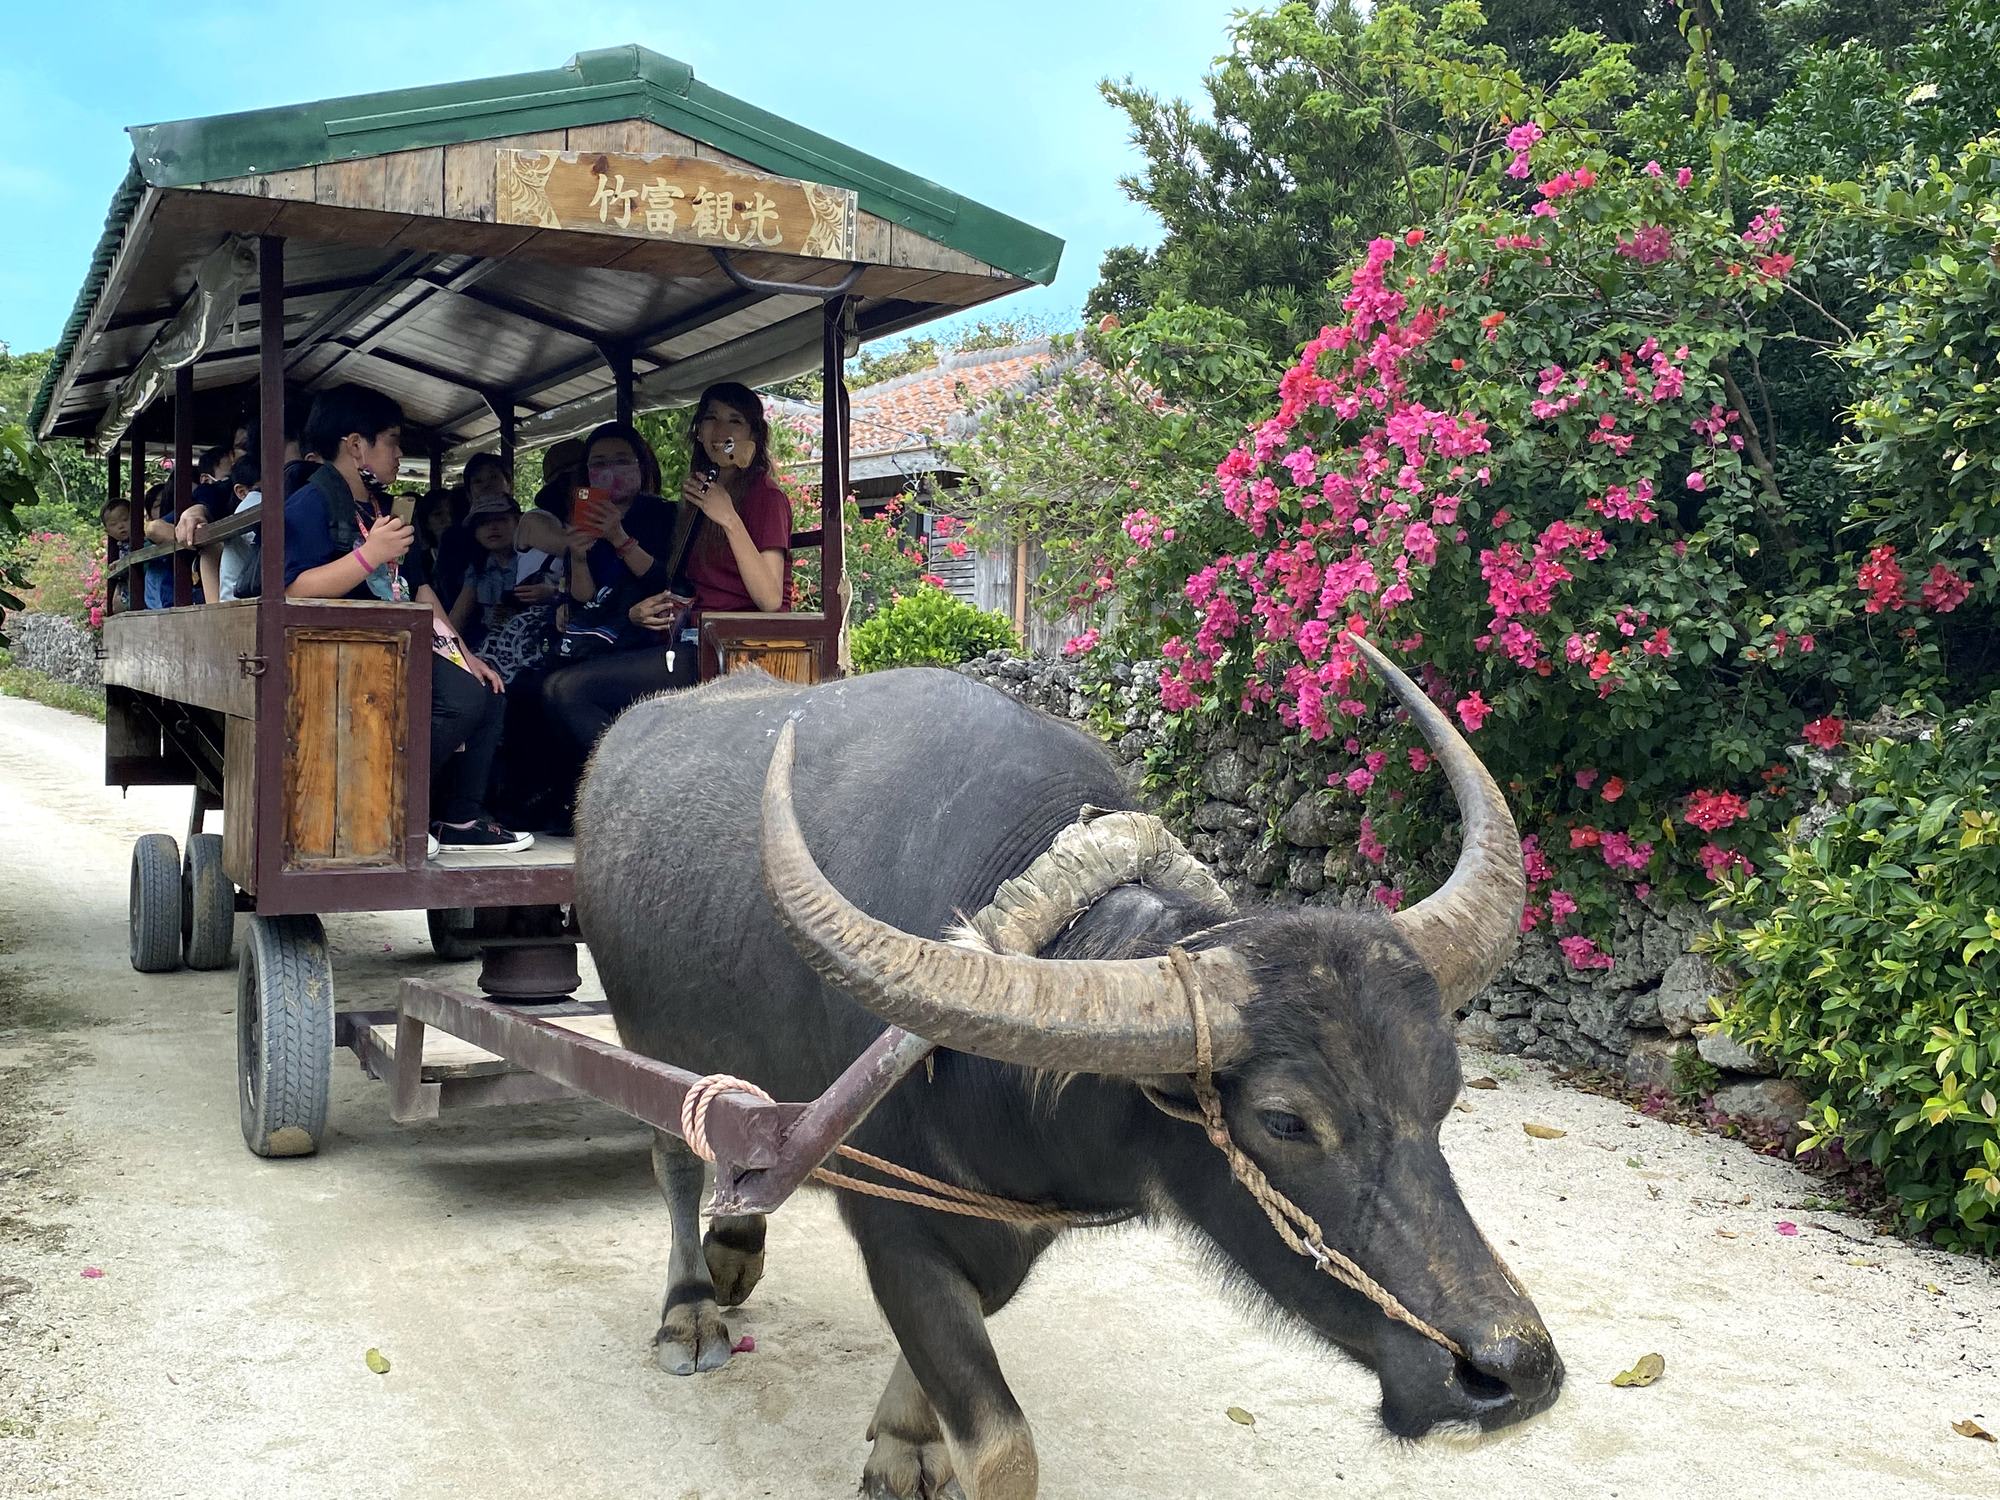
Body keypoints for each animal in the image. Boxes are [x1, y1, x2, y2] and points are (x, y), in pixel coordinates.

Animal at [576, 648, 1560, 1500]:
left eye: (1444, 1095)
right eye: (1284, 1120)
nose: (1513, 1370)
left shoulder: (1013, 1224)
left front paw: (902, 1443)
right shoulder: (894, 1225)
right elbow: (1001, 1444)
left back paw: (737, 1245)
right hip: (647, 1039)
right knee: (676, 1159)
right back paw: (690, 1309)